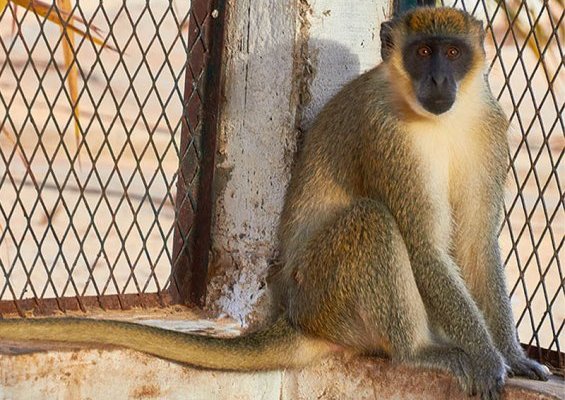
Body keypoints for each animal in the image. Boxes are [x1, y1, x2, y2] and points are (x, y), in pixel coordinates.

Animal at [0, 7, 550, 400]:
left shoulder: (490, 127)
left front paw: (511, 353)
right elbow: (425, 249)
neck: (438, 119)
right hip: (326, 296)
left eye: (453, 52)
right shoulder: (386, 136)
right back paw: (416, 352)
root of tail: (297, 316)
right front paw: (486, 357)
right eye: (424, 51)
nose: (438, 79)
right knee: (373, 221)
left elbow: (477, 243)